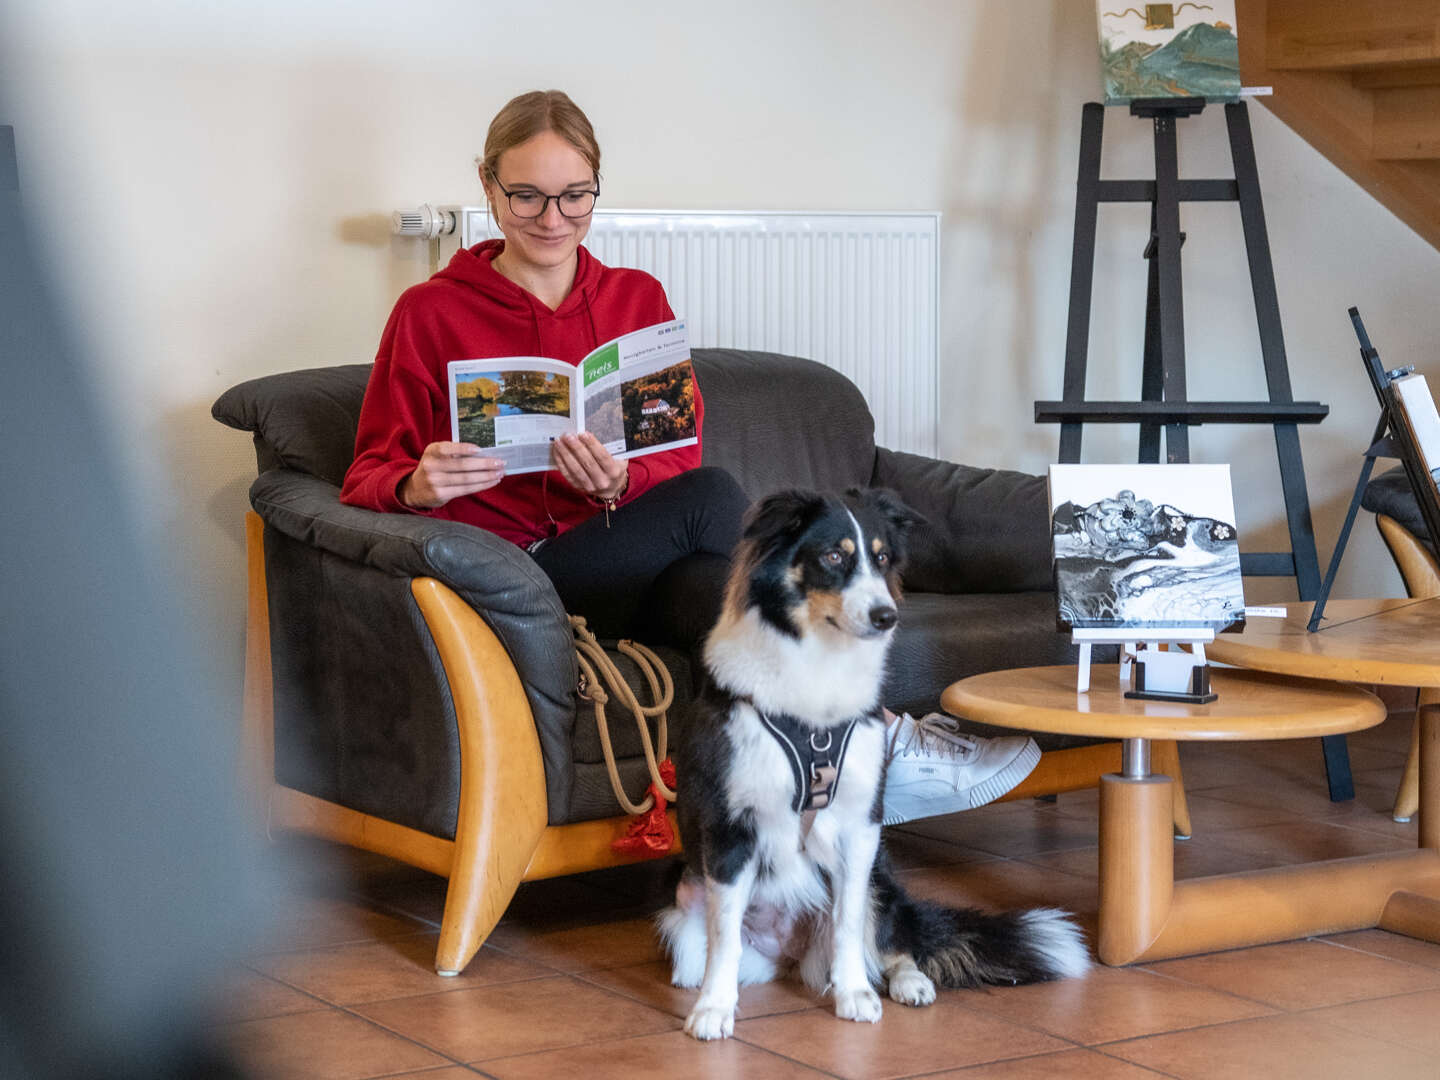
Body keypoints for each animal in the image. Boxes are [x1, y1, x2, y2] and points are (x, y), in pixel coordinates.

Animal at [659, 489, 1082, 1042]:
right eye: (833, 557)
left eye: (881, 559)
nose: (887, 616)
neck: (818, 669)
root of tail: (788, 955)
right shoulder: (731, 828)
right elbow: (724, 933)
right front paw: (713, 1008)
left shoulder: (860, 825)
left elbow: (848, 922)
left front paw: (855, 994)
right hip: (684, 899)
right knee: (700, 954)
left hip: (882, 878)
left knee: (890, 944)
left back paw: (907, 982)